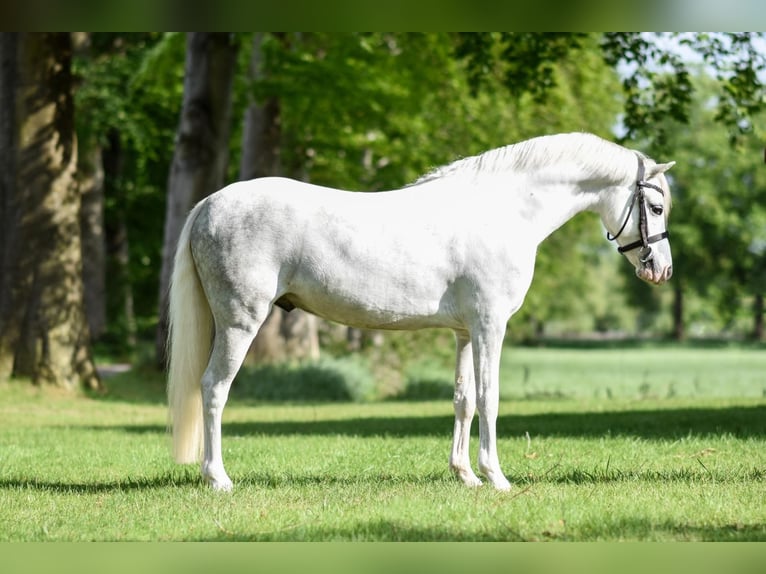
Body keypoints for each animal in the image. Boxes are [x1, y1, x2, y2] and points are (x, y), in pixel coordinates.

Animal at [165, 133, 676, 492]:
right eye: (655, 206)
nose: (661, 269)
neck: (505, 210)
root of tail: (210, 203)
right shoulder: (490, 325)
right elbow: (490, 398)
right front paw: (497, 477)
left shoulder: (465, 332)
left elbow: (463, 400)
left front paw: (465, 475)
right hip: (240, 322)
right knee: (214, 389)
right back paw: (218, 478)